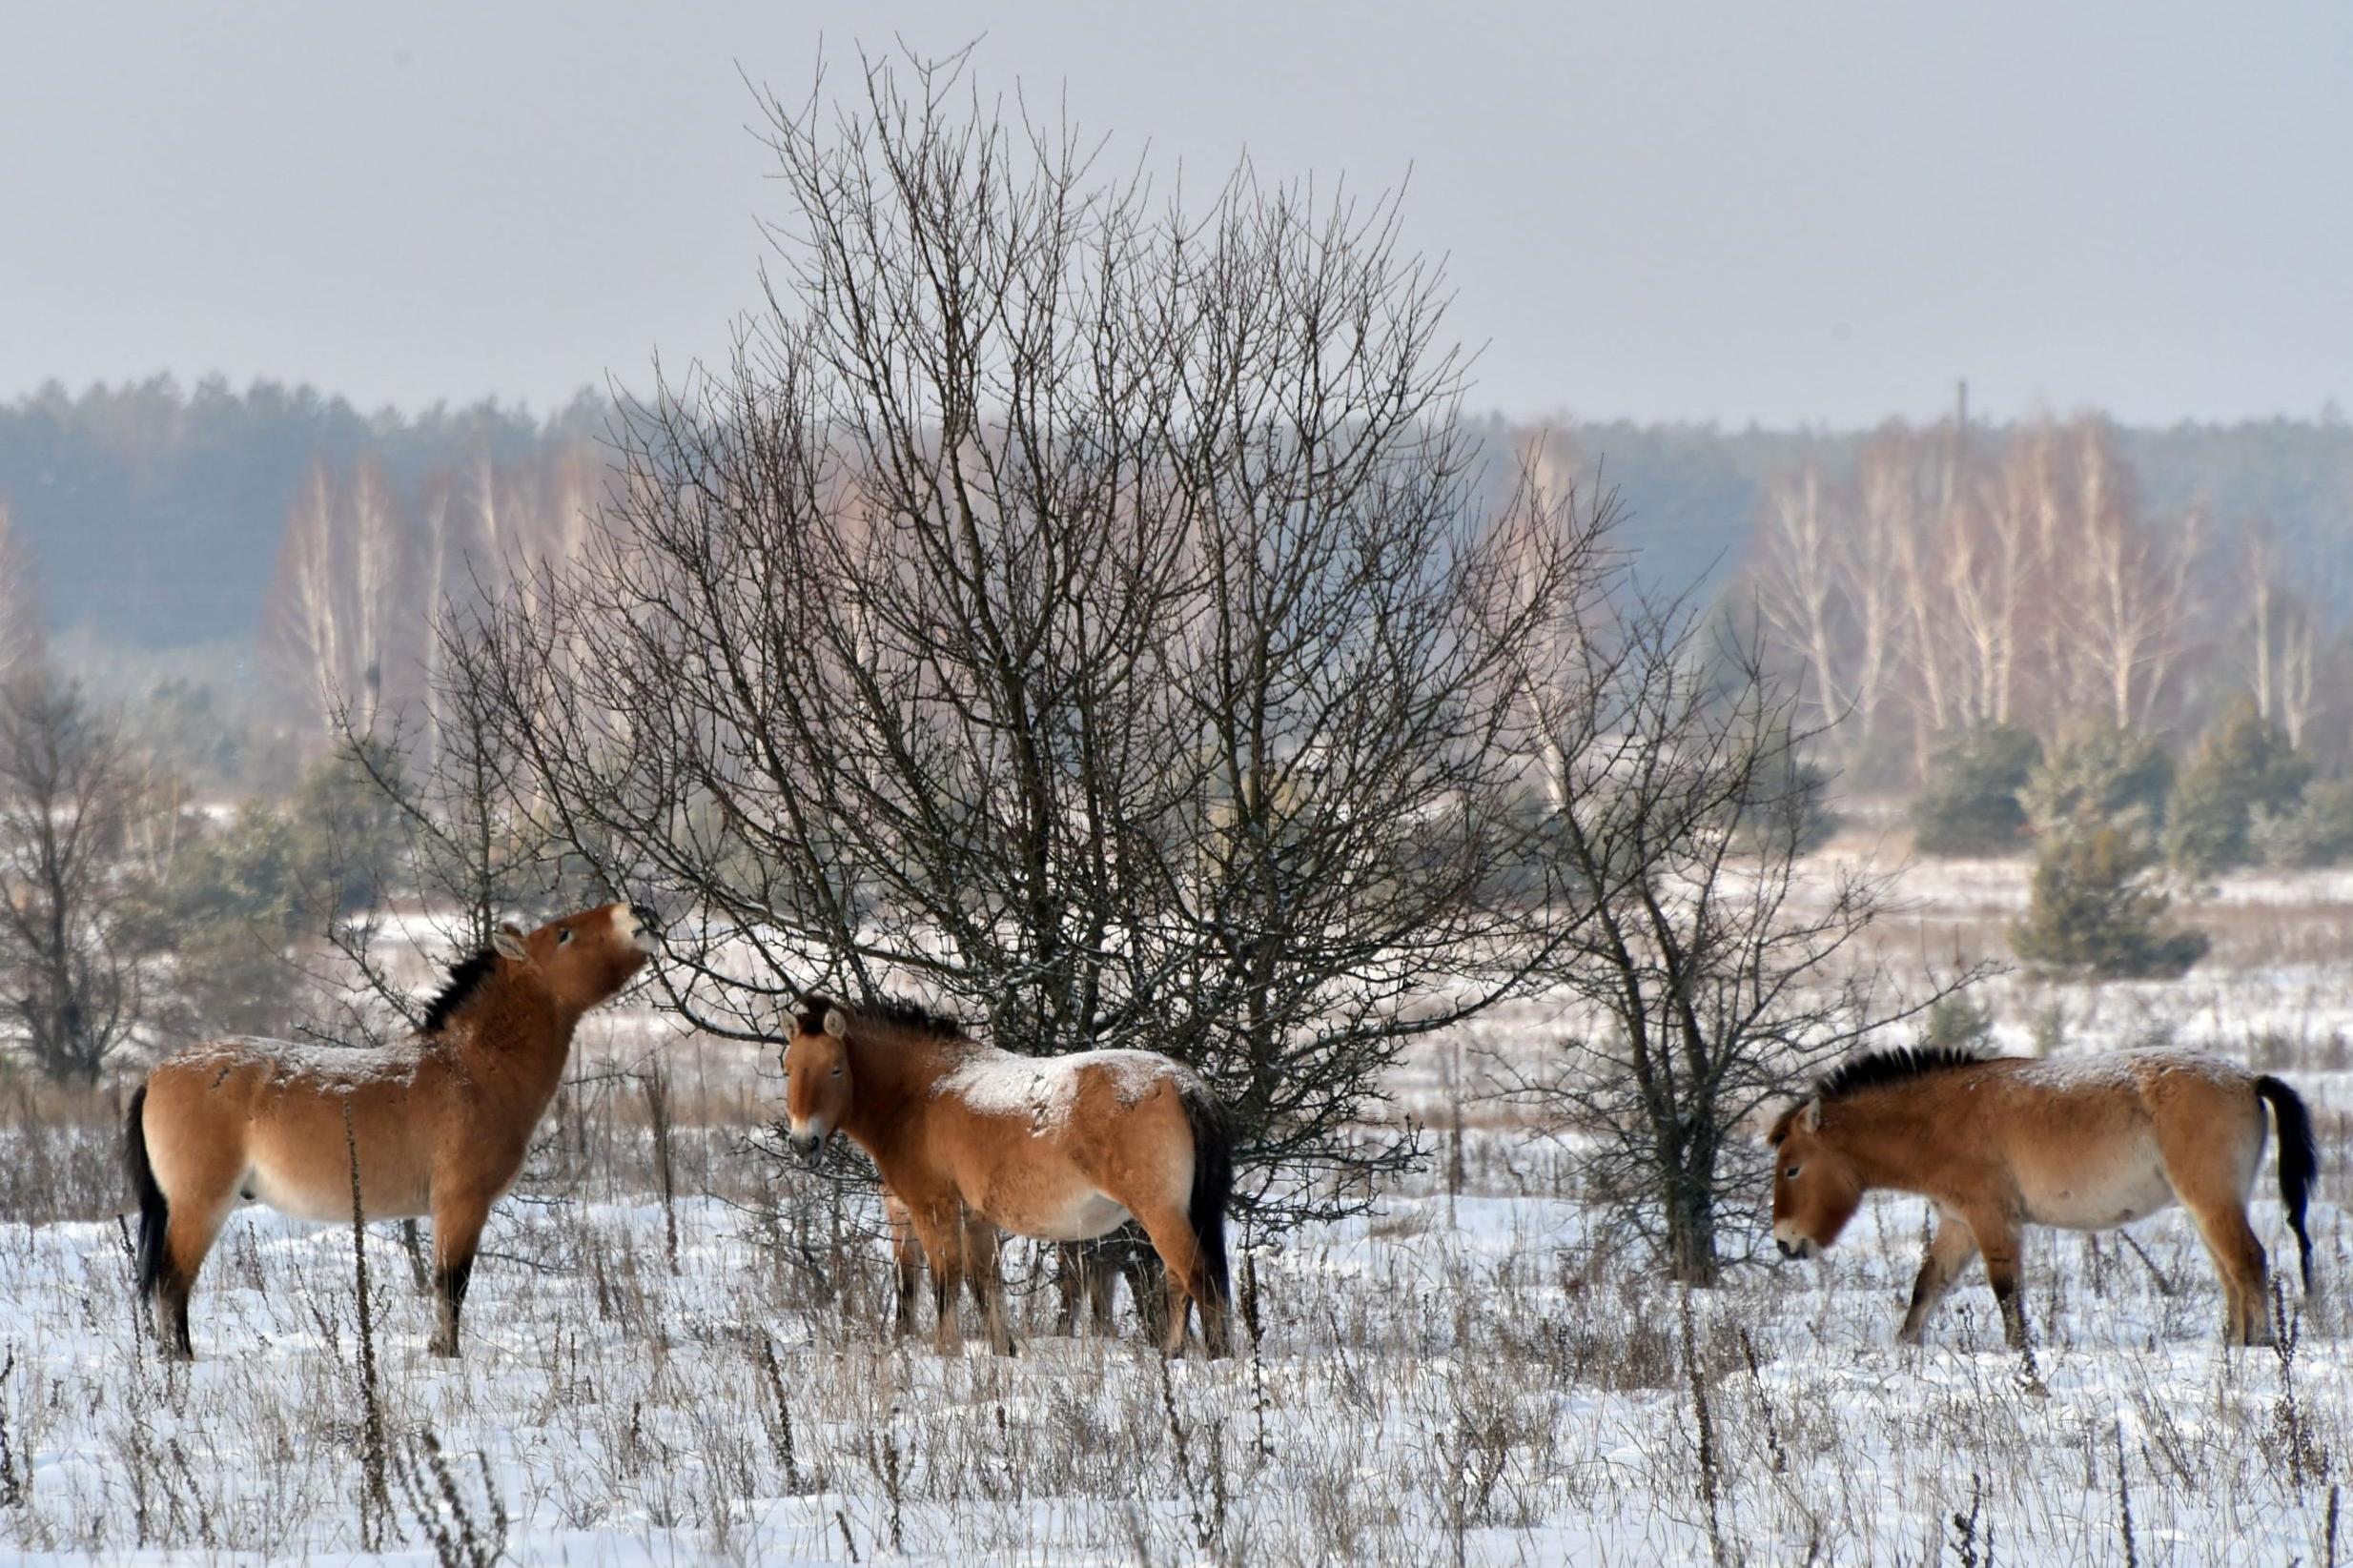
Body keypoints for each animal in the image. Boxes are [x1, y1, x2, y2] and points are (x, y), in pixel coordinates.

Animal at [129, 906, 663, 1363]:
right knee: (173, 1282)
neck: (473, 1066)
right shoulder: (461, 1204)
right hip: (200, 1205)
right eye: (564, 934)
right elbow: (451, 1284)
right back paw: (182, 1359)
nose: (640, 913)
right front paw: (446, 1354)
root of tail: (155, 1074)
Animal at [786, 1001, 1242, 1354]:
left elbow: (946, 1283)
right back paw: (1172, 1354)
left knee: (1198, 1278)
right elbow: (986, 1286)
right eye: (789, 1067)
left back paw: (1212, 1358)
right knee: (1179, 1282)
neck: (921, 1094)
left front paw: (946, 1352)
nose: (804, 1143)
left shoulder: (933, 1210)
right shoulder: (976, 1220)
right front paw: (1001, 1351)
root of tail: (1184, 1085)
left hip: (1160, 1214)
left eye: (835, 1069)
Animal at [1769, 1044, 2315, 1354]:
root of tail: (2247, 1080)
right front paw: (1906, 1348)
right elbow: (1927, 1286)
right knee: (2230, 1274)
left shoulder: (1992, 1220)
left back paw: (2258, 1346)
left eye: (1792, 1167)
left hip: (2212, 1201)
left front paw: (2020, 1354)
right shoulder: (1958, 1225)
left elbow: (2007, 1291)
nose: (1784, 1243)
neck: (1937, 1120)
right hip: (2208, 1208)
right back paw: (2235, 1343)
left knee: (2247, 1261)